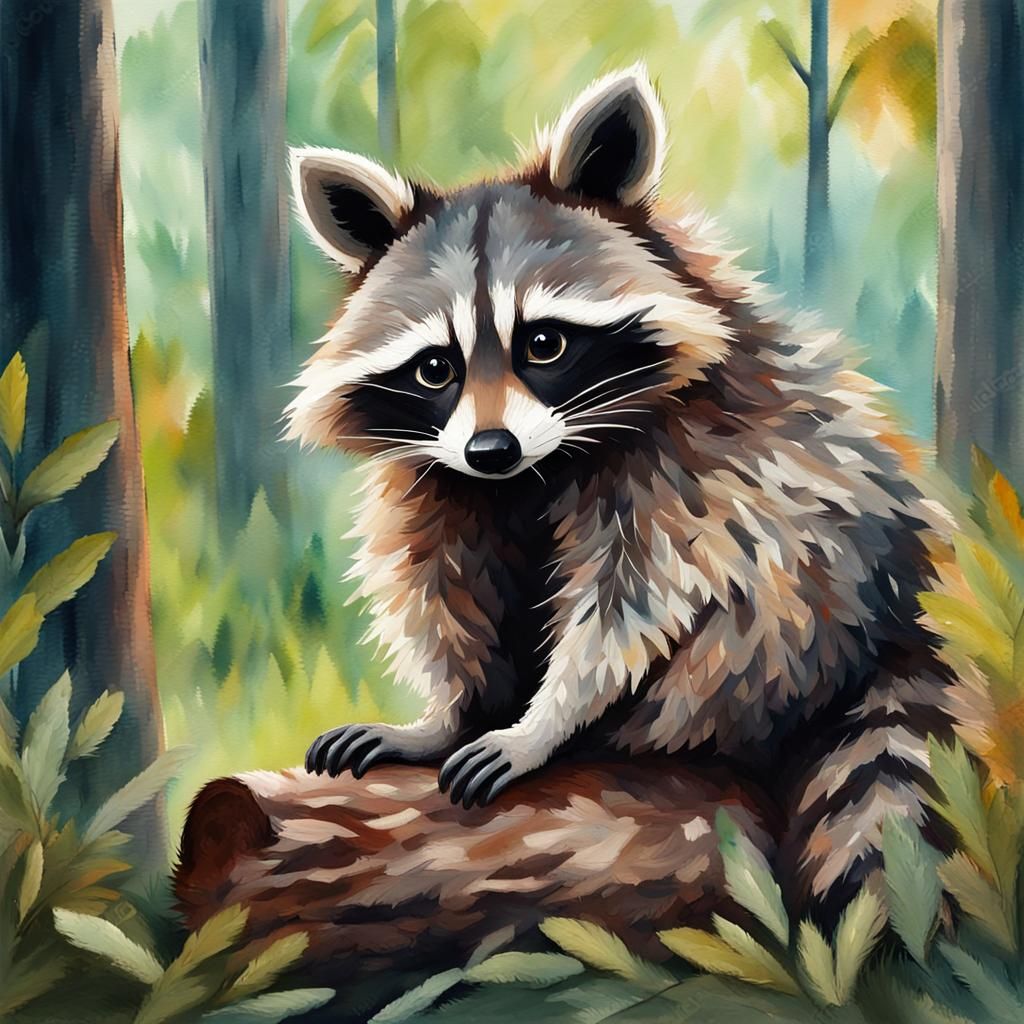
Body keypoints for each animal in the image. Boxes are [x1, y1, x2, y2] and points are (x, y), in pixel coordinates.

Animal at [287, 66, 966, 911]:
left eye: (544, 343)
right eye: (435, 367)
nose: (491, 448)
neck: (532, 474)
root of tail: (894, 618)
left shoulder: (689, 461)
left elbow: (636, 598)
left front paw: (546, 721)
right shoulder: (439, 482)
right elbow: (445, 589)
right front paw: (449, 714)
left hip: (807, 605)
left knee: (761, 586)